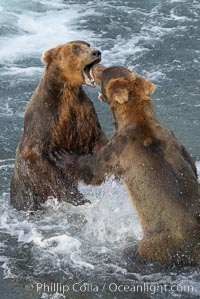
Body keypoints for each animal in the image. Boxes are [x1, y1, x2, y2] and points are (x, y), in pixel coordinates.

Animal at [10, 40, 108, 211]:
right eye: (75, 48)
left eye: (88, 44)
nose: (96, 52)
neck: (66, 90)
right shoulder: (45, 119)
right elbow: (40, 159)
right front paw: (75, 196)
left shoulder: (82, 114)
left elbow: (95, 138)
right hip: (23, 196)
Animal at [52, 65, 200, 264]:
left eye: (104, 72)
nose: (97, 66)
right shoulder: (174, 140)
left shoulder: (119, 149)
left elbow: (95, 170)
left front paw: (61, 154)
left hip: (156, 244)